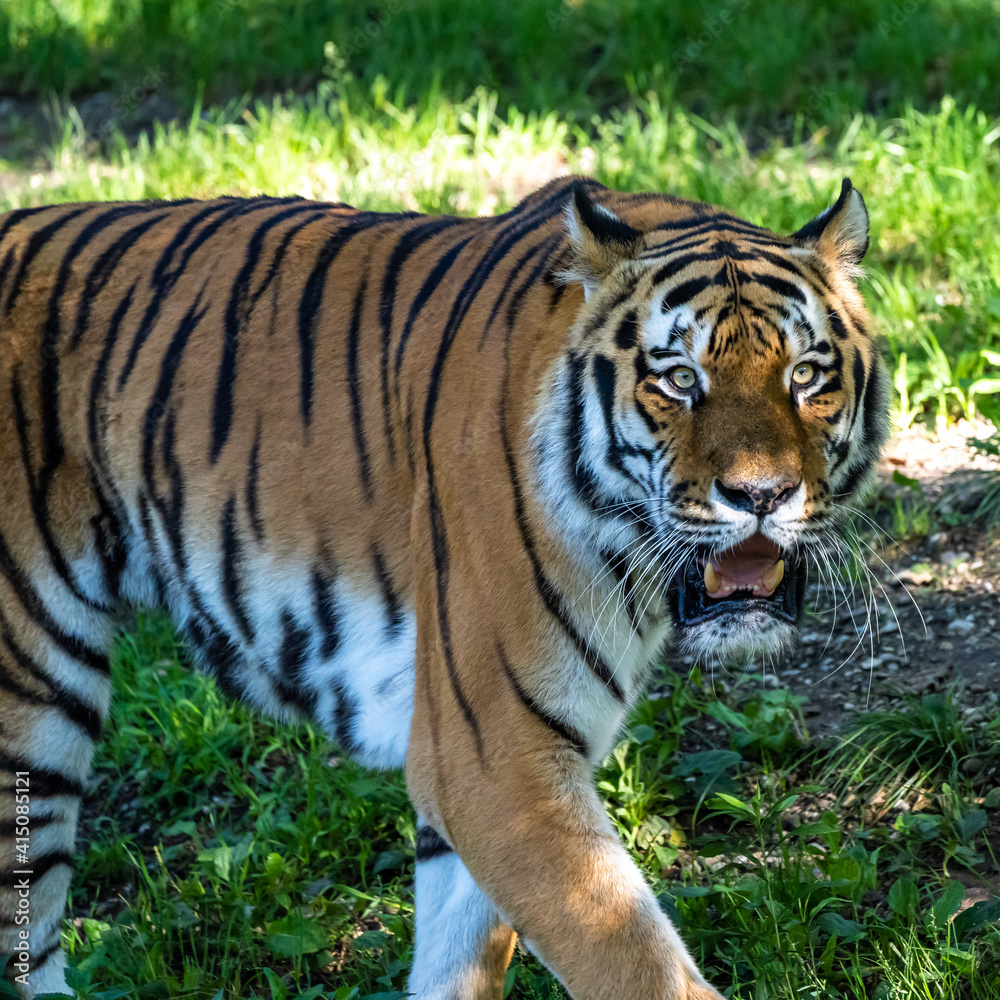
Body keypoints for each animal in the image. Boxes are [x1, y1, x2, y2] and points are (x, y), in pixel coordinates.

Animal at [0, 176, 892, 996]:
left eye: (806, 375)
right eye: (678, 379)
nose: (762, 495)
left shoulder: (473, 770)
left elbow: (457, 959)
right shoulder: (497, 756)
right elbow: (637, 965)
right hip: (33, 702)